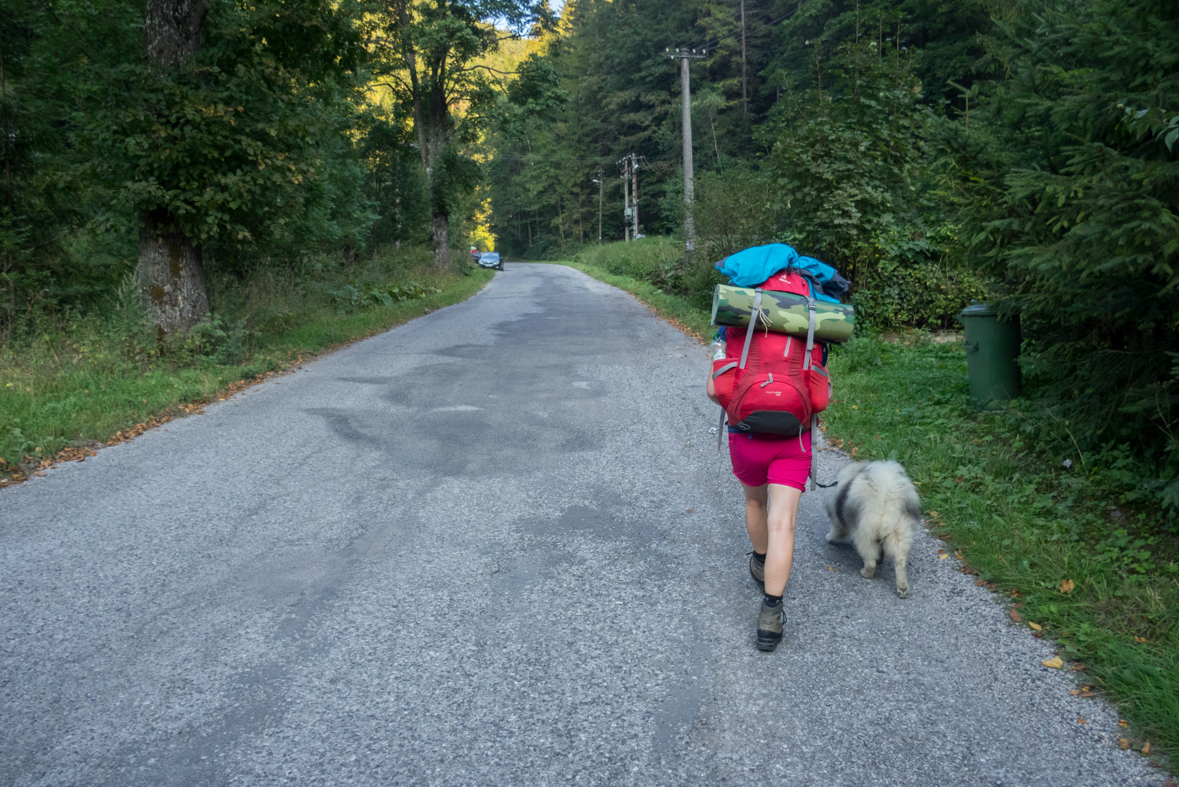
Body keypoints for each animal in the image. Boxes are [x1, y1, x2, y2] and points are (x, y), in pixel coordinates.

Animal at [820, 461, 919, 596]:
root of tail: (886, 496)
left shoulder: (838, 521)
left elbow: (836, 530)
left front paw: (829, 538)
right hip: (899, 531)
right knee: (900, 560)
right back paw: (902, 587)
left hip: (865, 533)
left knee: (870, 561)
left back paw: (865, 573)